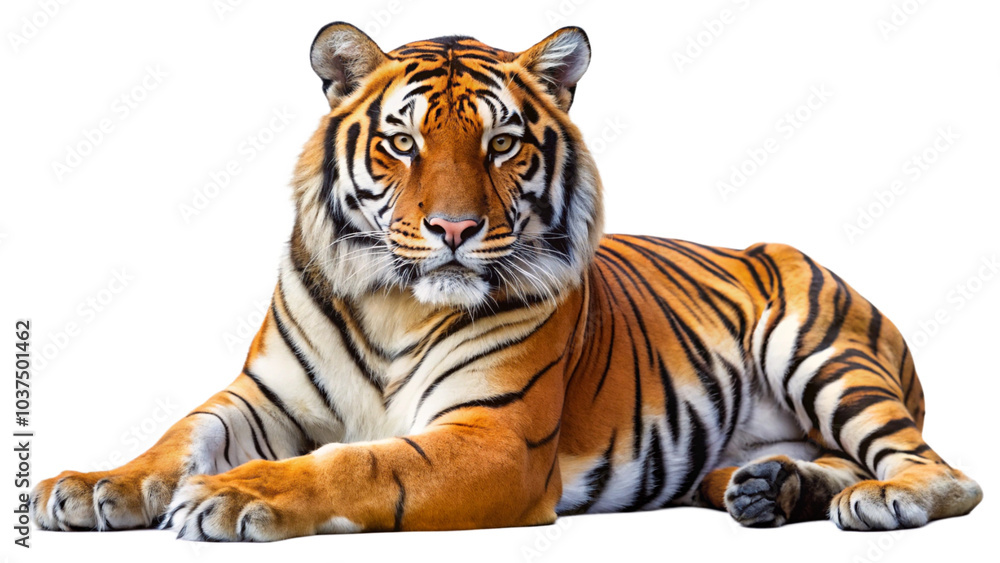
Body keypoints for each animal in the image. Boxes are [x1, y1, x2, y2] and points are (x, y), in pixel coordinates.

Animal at [31, 23, 982, 541]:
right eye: (403, 142)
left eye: (500, 144)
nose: (454, 230)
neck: (394, 302)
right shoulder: (262, 396)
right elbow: (180, 434)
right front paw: (95, 485)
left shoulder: (492, 435)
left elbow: (360, 461)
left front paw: (239, 495)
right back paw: (771, 487)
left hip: (819, 351)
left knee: (945, 472)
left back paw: (881, 500)